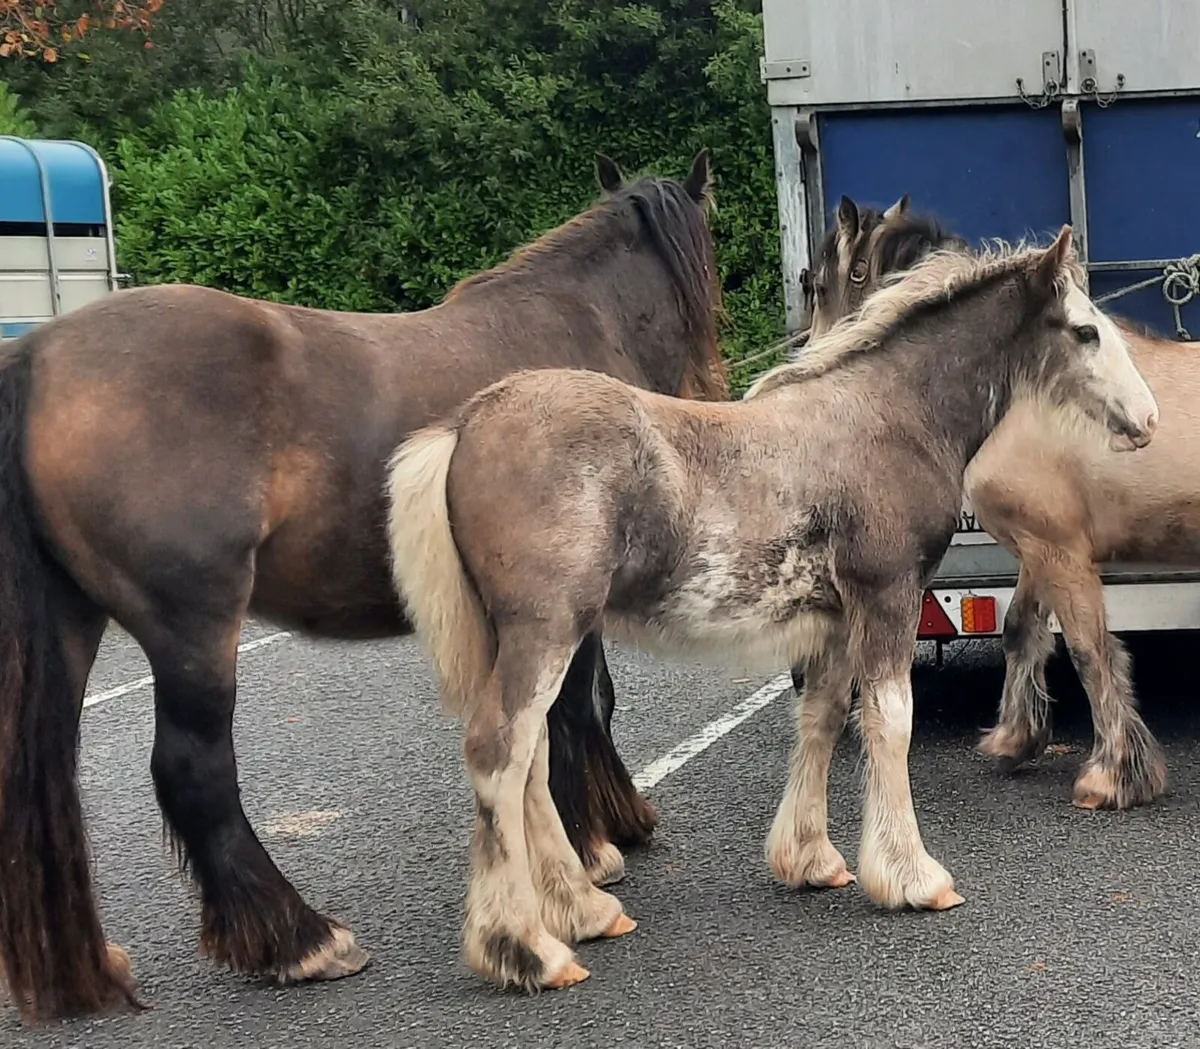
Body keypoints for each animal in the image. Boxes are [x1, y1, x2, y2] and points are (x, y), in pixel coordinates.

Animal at [0, 150, 726, 1024]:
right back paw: (301, 940)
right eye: (713, 264)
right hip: (193, 627)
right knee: (193, 771)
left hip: (75, 623)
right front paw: (599, 845)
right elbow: (577, 711)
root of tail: (38, 358)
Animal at [385, 227, 1157, 993]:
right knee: (499, 750)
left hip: (526, 638)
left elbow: (822, 717)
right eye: (1085, 330)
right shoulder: (889, 594)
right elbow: (892, 720)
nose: (1147, 420)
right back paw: (525, 948)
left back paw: (584, 910)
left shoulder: (835, 617)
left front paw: (811, 859)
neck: (891, 417)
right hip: (544, 631)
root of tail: (464, 425)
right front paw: (912, 877)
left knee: (531, 756)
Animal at [808, 194, 1191, 811]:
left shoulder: (1059, 551)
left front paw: (1113, 774)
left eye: (818, 285)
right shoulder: (1037, 546)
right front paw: (1017, 737)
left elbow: (1089, 651)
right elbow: (1020, 629)